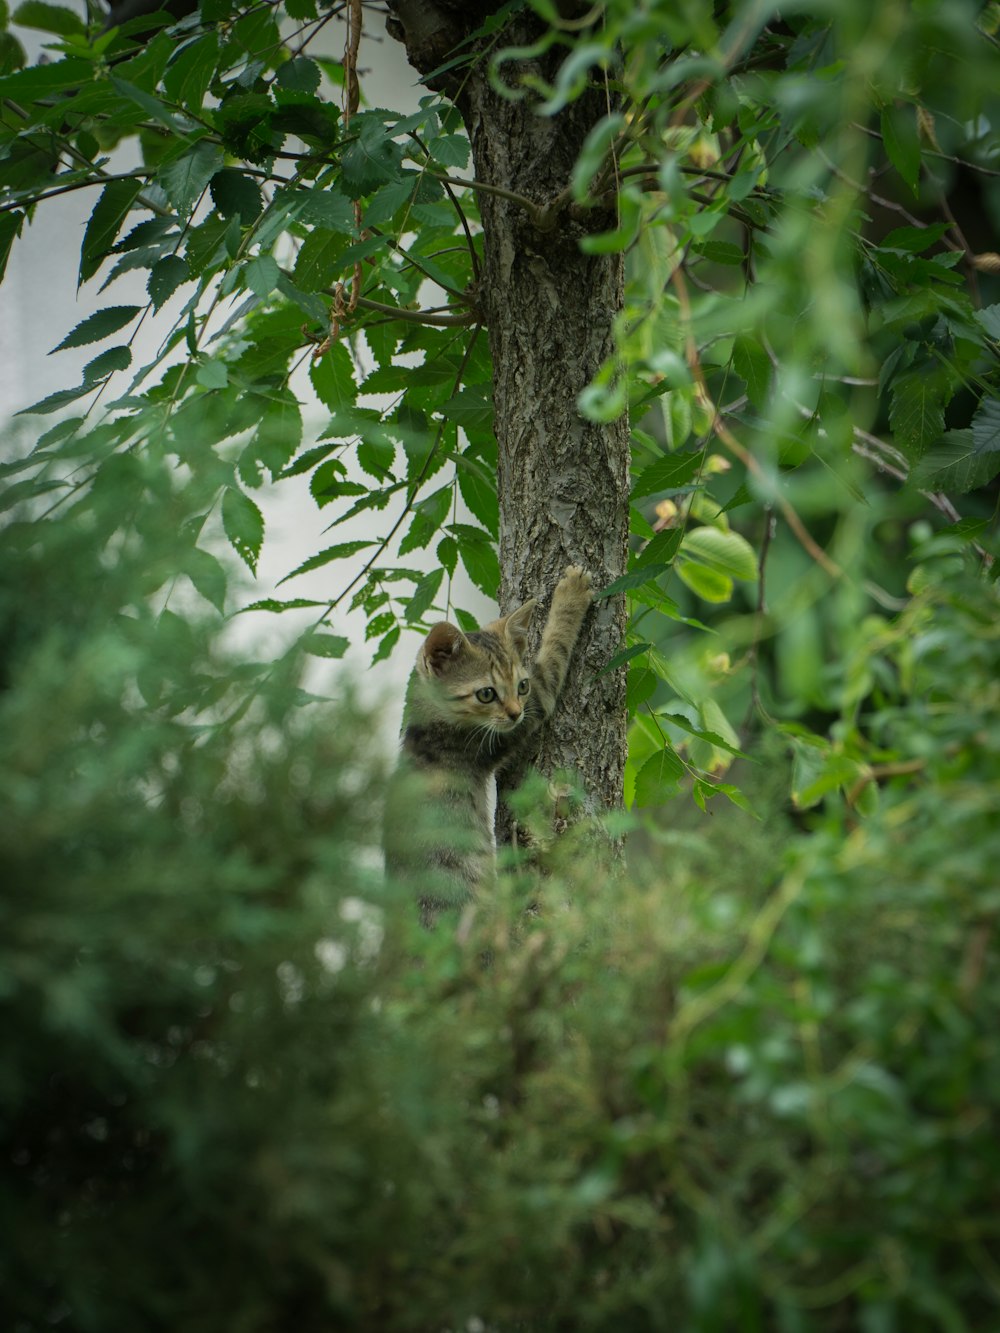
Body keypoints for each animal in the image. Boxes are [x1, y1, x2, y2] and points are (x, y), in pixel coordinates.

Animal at [381, 565, 586, 927]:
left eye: (521, 686)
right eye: (487, 693)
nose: (515, 712)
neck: (425, 726)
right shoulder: (507, 725)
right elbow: (553, 657)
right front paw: (571, 595)